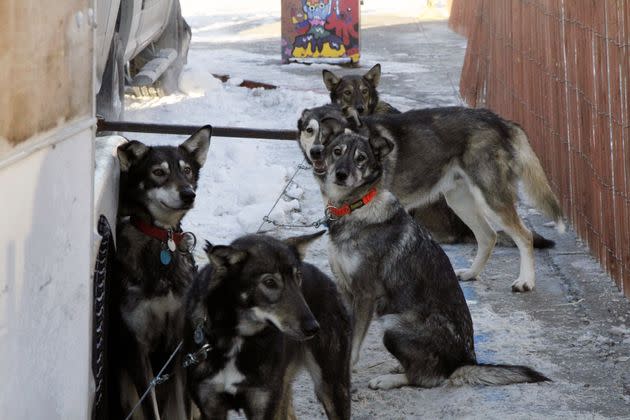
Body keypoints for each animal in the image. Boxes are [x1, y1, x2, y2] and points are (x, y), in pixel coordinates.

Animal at [111, 127, 212, 420]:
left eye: (187, 170)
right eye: (158, 172)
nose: (189, 194)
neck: (160, 240)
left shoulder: (183, 346)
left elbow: (183, 411)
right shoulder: (137, 349)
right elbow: (151, 410)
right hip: (124, 389)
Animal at [298, 104, 564, 292]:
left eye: (332, 131)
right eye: (310, 130)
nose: (317, 152)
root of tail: (501, 121)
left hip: (491, 199)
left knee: (524, 236)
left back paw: (525, 281)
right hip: (459, 201)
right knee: (488, 236)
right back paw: (471, 274)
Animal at [318, 131, 552, 390]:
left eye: (361, 158)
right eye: (337, 151)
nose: (341, 174)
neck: (355, 207)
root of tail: (464, 362)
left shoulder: (365, 295)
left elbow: (354, 343)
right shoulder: (345, 290)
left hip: (392, 325)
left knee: (426, 377)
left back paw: (389, 379)